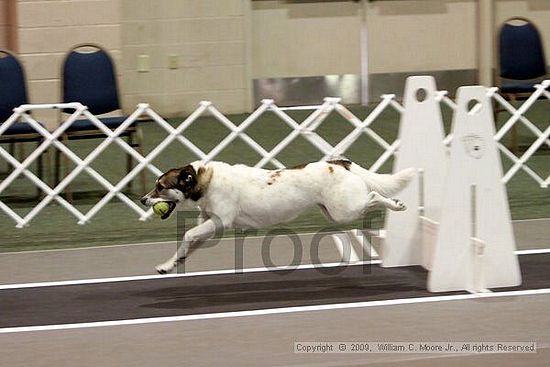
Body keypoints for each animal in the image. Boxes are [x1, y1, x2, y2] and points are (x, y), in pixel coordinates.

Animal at [140, 160, 416, 274]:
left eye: (160, 187)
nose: (142, 200)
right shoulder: (210, 229)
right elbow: (187, 245)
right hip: (334, 211)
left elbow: (187, 234)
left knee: (374, 196)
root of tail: (337, 162)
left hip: (344, 210)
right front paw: (170, 264)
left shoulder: (219, 222)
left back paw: (396, 204)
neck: (204, 181)